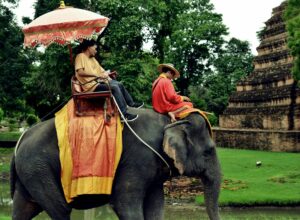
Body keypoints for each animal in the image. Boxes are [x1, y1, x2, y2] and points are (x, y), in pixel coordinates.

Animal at [10, 108, 221, 220]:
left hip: (31, 172)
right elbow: (125, 204)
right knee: (60, 210)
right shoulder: (137, 159)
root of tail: (21, 138)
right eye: (209, 151)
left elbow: (155, 206)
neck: (168, 121)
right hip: (39, 169)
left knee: (24, 208)